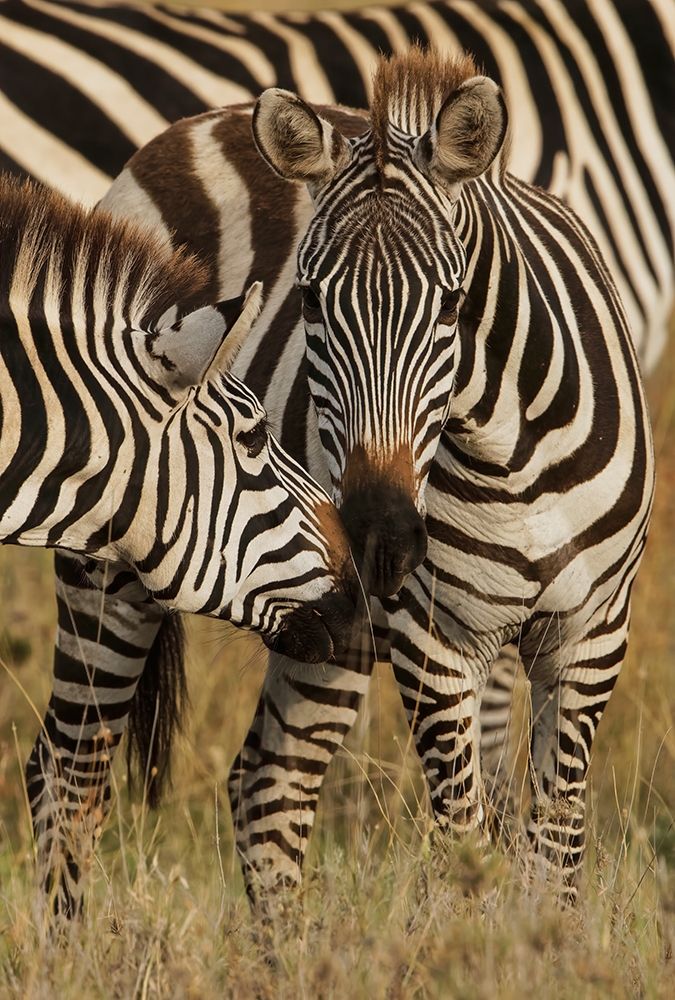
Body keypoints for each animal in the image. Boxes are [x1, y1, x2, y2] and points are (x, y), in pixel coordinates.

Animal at [57, 48, 654, 902]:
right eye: (307, 301)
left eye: (452, 305)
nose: (375, 535)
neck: (513, 462)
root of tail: (194, 124)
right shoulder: (433, 639)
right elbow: (464, 844)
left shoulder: (592, 635)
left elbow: (555, 850)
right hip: (108, 568)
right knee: (67, 778)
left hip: (320, 620)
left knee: (267, 784)